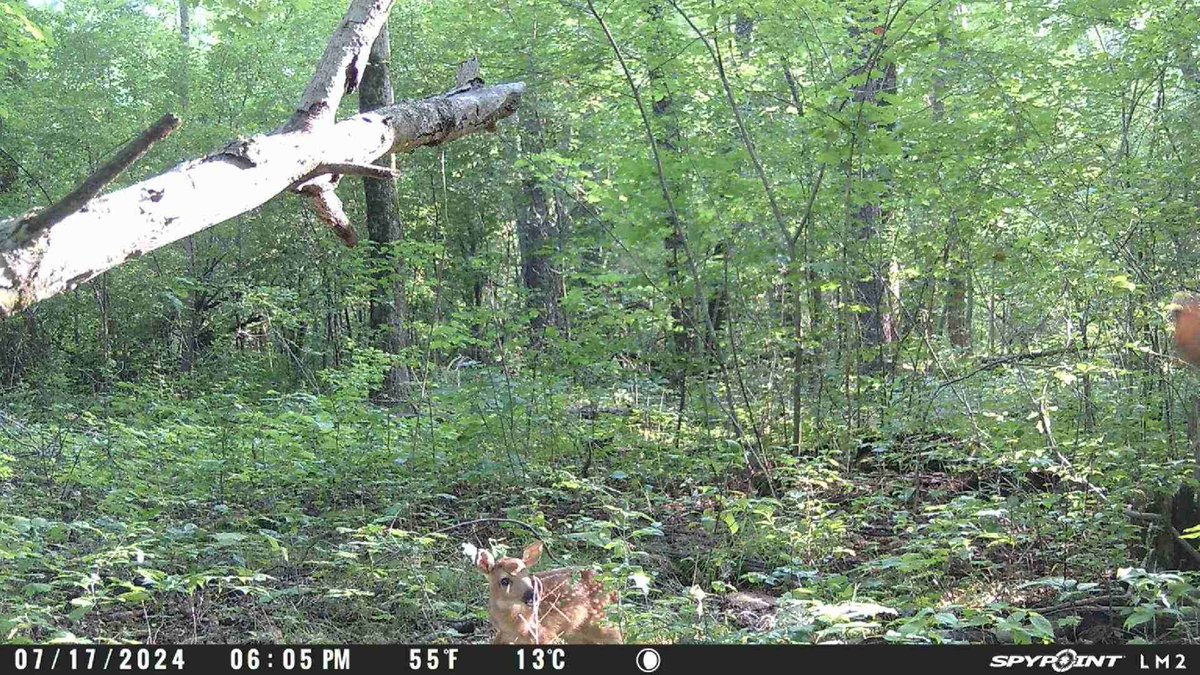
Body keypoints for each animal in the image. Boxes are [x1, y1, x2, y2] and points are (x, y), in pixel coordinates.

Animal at [474, 541, 624, 644]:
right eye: (504, 581)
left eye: (527, 575)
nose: (533, 595)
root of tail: (612, 586)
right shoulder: (503, 635)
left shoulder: (544, 634)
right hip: (576, 631)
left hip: (599, 619)